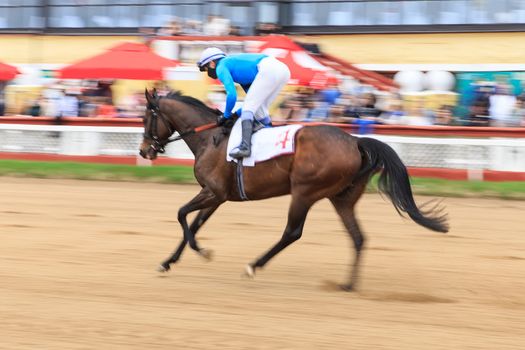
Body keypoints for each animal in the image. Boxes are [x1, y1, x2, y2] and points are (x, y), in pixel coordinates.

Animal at [138, 89, 446, 292]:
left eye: (145, 118)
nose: (143, 151)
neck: (209, 138)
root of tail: (355, 140)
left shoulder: (214, 192)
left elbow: (181, 214)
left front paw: (201, 251)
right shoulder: (217, 196)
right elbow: (195, 223)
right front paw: (168, 262)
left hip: (304, 192)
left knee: (292, 232)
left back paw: (254, 266)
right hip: (341, 198)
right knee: (358, 237)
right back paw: (348, 284)